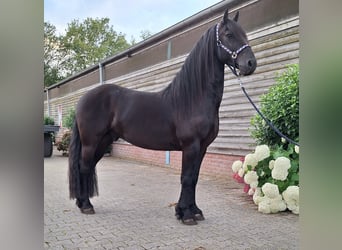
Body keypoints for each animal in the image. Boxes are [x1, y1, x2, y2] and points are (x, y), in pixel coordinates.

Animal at [69, 8, 255, 226]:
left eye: (244, 33)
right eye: (229, 35)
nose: (251, 63)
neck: (193, 98)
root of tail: (83, 99)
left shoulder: (202, 147)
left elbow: (195, 177)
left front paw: (193, 211)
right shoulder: (190, 146)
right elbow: (186, 178)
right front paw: (186, 215)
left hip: (104, 141)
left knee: (88, 167)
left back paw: (82, 202)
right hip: (91, 142)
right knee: (84, 167)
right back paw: (86, 205)